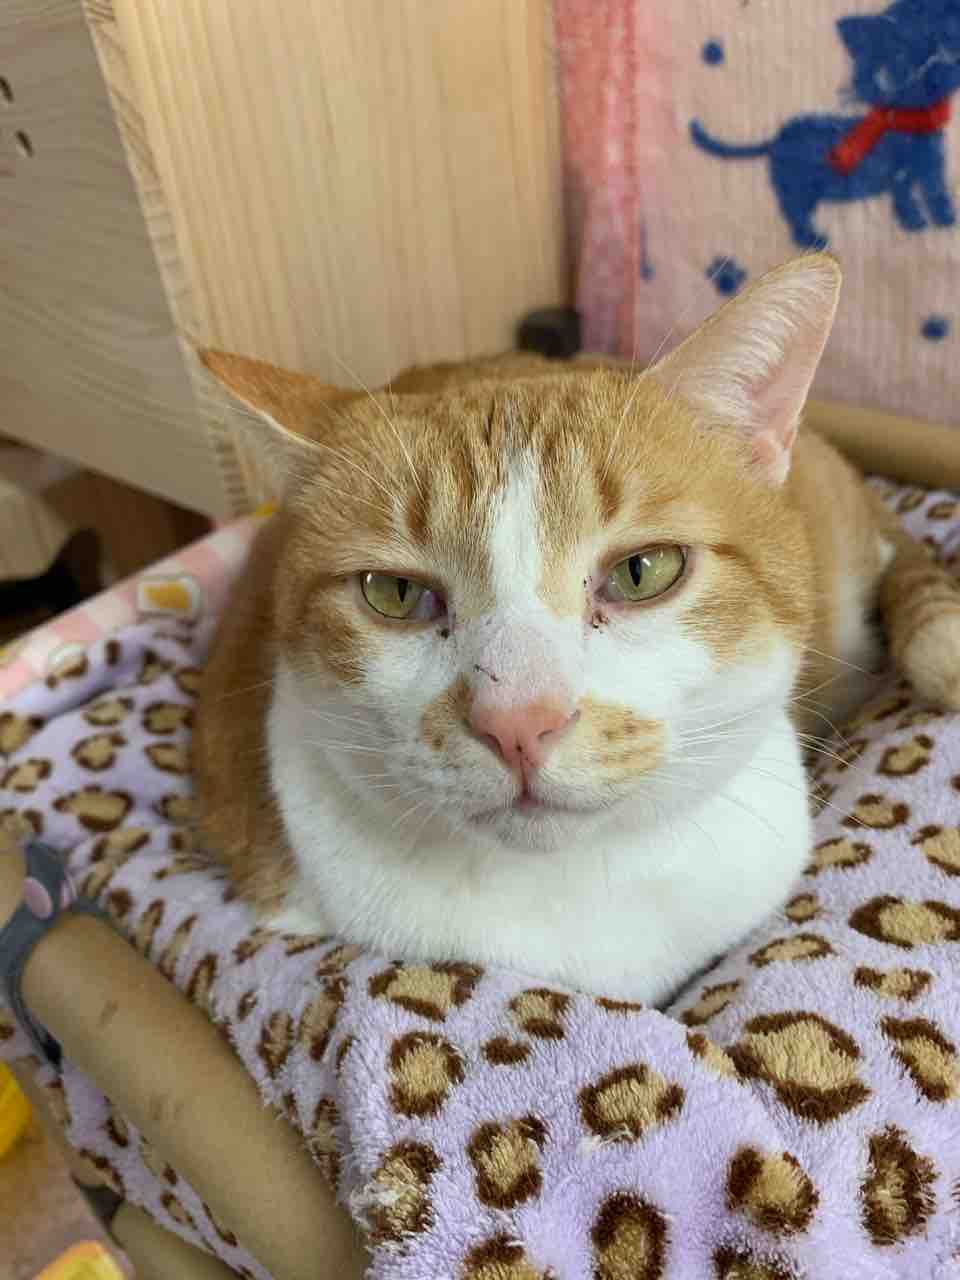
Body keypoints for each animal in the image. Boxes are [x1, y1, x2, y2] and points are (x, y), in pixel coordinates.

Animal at [690, 0, 960, 248]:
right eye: (899, 60)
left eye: (944, 50)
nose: (929, 74)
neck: (909, 118)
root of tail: (777, 138)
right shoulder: (918, 170)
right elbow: (932, 194)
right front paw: (943, 221)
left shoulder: (912, 174)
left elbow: (912, 198)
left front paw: (918, 224)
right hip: (798, 188)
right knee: (795, 214)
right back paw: (812, 240)